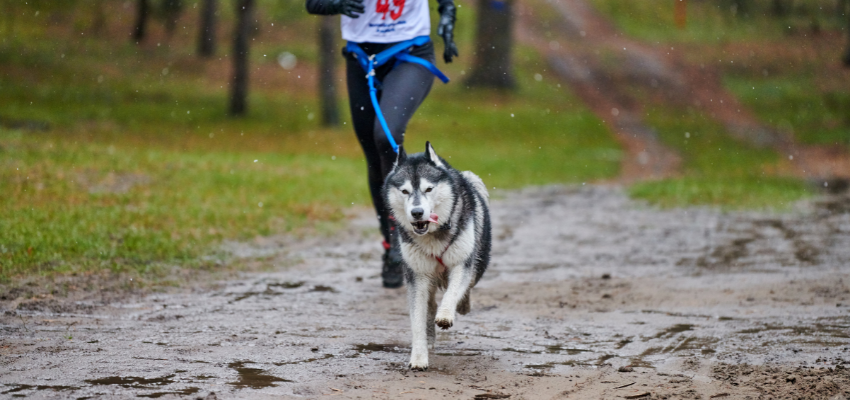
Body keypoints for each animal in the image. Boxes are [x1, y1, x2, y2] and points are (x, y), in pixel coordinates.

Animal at [382, 142, 490, 370]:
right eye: (405, 191)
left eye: (428, 189)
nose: (416, 212)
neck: (432, 236)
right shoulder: (417, 275)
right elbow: (418, 319)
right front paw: (418, 357)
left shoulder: (461, 263)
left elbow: (453, 291)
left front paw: (446, 315)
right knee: (429, 305)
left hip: (478, 261)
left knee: (467, 286)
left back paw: (462, 305)